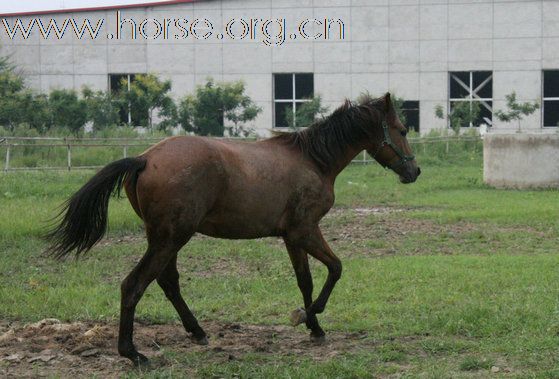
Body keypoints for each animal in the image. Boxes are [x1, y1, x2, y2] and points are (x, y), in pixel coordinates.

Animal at [46, 92, 420, 366]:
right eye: (402, 130)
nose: (413, 172)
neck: (313, 160)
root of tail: (145, 158)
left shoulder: (291, 237)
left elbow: (306, 281)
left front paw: (314, 327)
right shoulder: (305, 231)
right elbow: (335, 269)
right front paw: (304, 317)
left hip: (165, 238)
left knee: (168, 282)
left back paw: (197, 332)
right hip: (171, 238)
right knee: (134, 285)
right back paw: (133, 353)